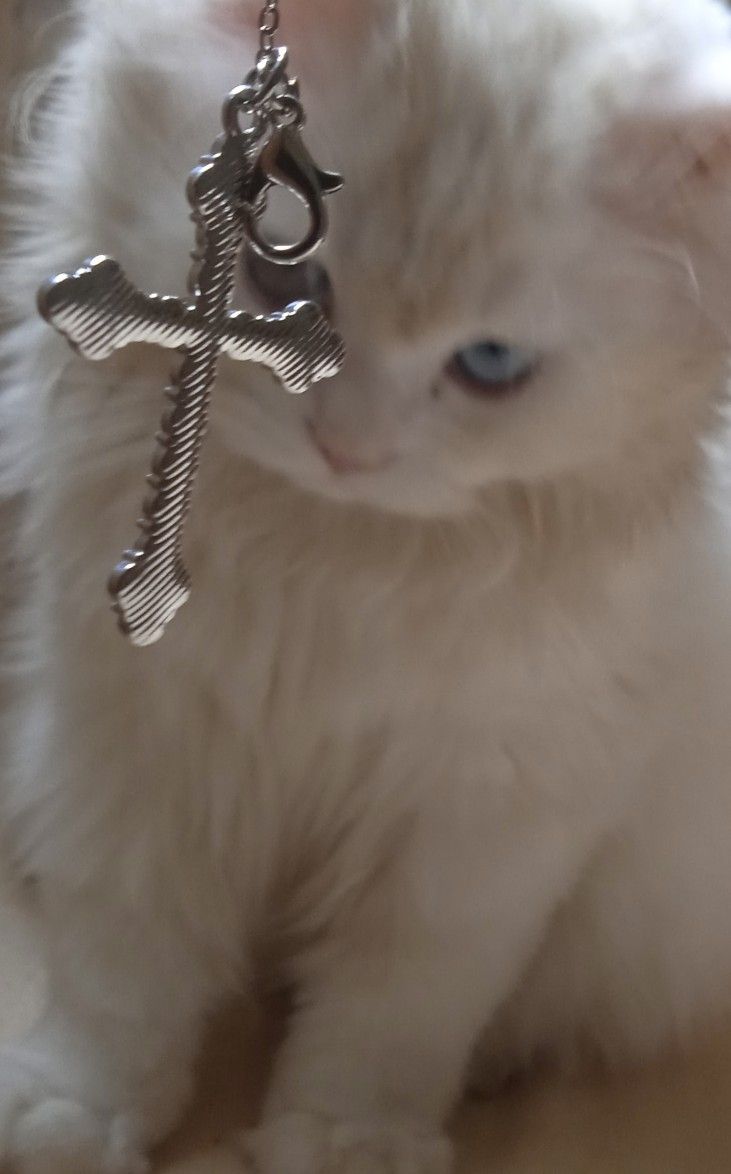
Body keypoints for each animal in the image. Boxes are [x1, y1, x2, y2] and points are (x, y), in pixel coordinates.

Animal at [4, 0, 731, 1169]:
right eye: (287, 288)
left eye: (487, 365)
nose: (346, 451)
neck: (329, 564)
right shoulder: (135, 739)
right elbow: (122, 967)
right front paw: (79, 1109)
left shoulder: (486, 810)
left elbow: (395, 1012)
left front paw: (347, 1141)